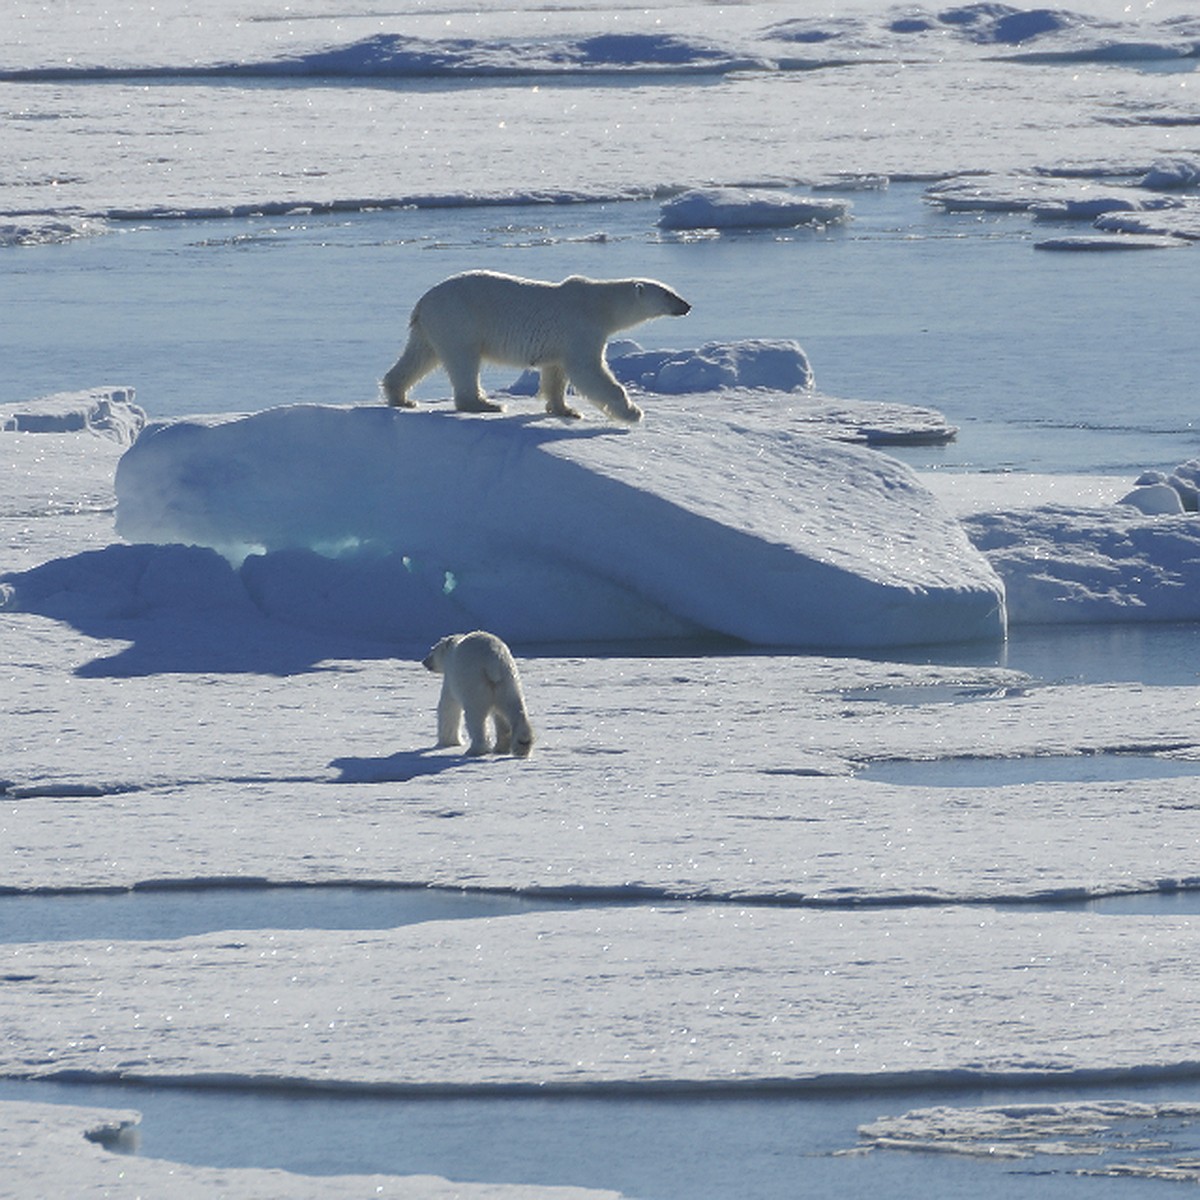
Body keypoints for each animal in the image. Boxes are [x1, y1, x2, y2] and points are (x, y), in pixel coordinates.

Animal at [379, 271, 691, 422]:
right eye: (668, 294)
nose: (687, 305)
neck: (600, 304)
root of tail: (422, 302)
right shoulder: (581, 327)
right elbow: (588, 371)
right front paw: (632, 413)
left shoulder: (561, 342)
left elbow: (556, 372)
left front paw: (565, 409)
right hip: (459, 318)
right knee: (463, 360)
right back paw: (485, 404)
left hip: (431, 327)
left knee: (420, 356)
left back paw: (401, 397)